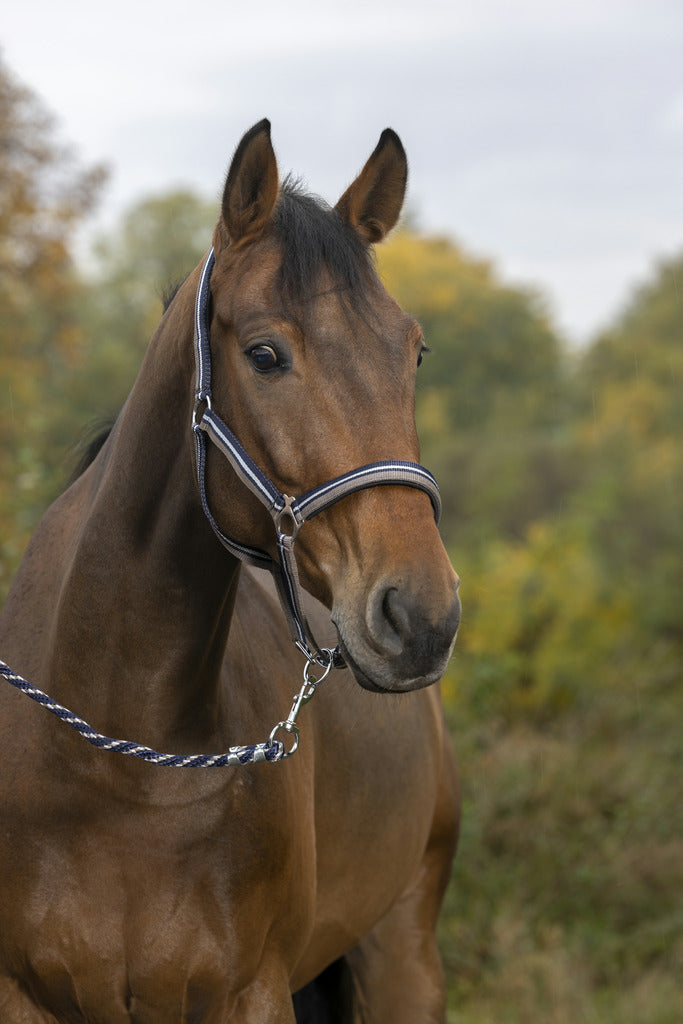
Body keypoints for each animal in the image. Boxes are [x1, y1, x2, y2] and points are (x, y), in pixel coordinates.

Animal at [0, 120, 461, 1023]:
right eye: (264, 354)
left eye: (415, 350)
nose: (421, 618)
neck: (123, 765)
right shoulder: (22, 994)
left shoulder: (254, 994)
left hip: (403, 956)